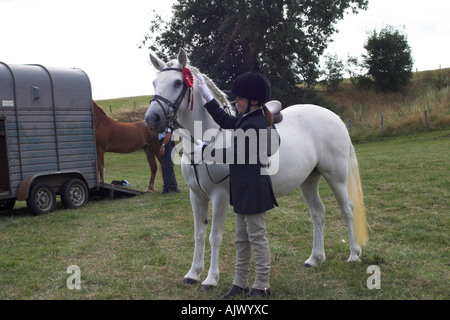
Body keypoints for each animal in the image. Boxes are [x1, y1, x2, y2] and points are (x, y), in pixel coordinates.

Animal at [146, 48, 368, 288]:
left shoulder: (220, 196)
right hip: (309, 180)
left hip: (335, 177)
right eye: (154, 82)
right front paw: (193, 273)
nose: (152, 118)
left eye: (178, 82)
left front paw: (211, 278)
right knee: (318, 213)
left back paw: (354, 254)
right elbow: (199, 234)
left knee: (347, 209)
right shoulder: (196, 196)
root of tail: (334, 116)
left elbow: (215, 236)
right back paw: (315, 258)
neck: (209, 141)